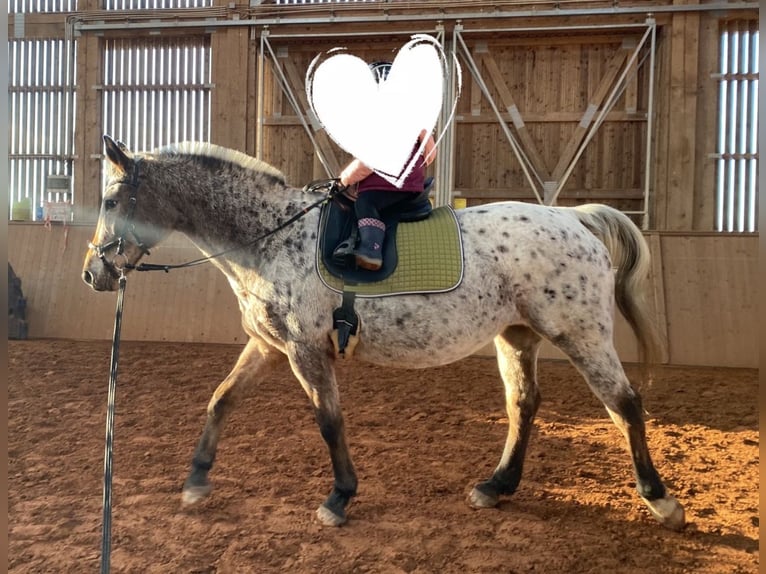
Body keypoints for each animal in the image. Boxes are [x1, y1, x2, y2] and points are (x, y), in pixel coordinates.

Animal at [82, 135, 685, 531]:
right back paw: (496, 486)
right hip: (516, 335)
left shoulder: (304, 350)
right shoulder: (270, 346)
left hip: (581, 333)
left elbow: (328, 421)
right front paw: (195, 482)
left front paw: (339, 498)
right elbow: (221, 400)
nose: (93, 274)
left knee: (624, 404)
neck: (268, 236)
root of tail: (574, 218)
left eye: (111, 201)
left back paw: (660, 500)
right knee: (524, 405)